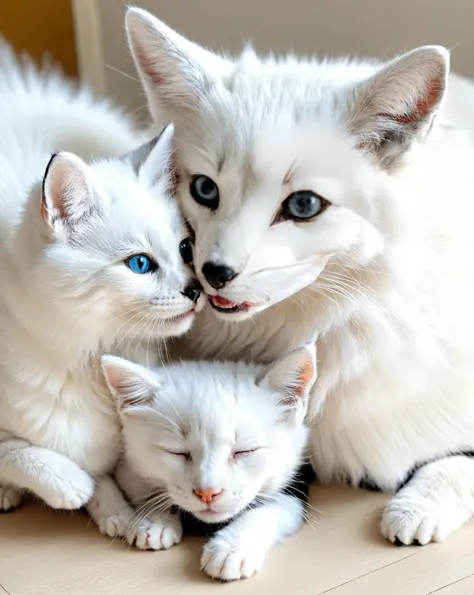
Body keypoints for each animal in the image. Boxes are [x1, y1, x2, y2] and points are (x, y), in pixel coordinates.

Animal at [0, 46, 202, 540]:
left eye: (185, 249)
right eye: (140, 264)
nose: (194, 288)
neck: (90, 358)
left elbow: (119, 470)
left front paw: (125, 514)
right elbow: (22, 453)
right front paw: (73, 488)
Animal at [102, 346, 316, 584]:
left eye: (244, 451)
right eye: (177, 452)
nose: (208, 492)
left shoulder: (299, 479)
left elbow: (269, 510)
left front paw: (231, 549)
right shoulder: (127, 468)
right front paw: (155, 520)